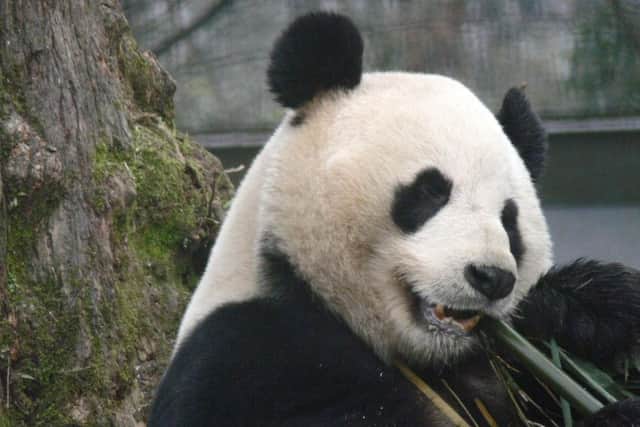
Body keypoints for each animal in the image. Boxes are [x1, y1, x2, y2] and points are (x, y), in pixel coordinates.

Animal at [150, 12, 640, 426]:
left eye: (509, 219)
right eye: (431, 191)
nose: (491, 277)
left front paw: (589, 308)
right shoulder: (246, 352)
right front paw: (616, 415)